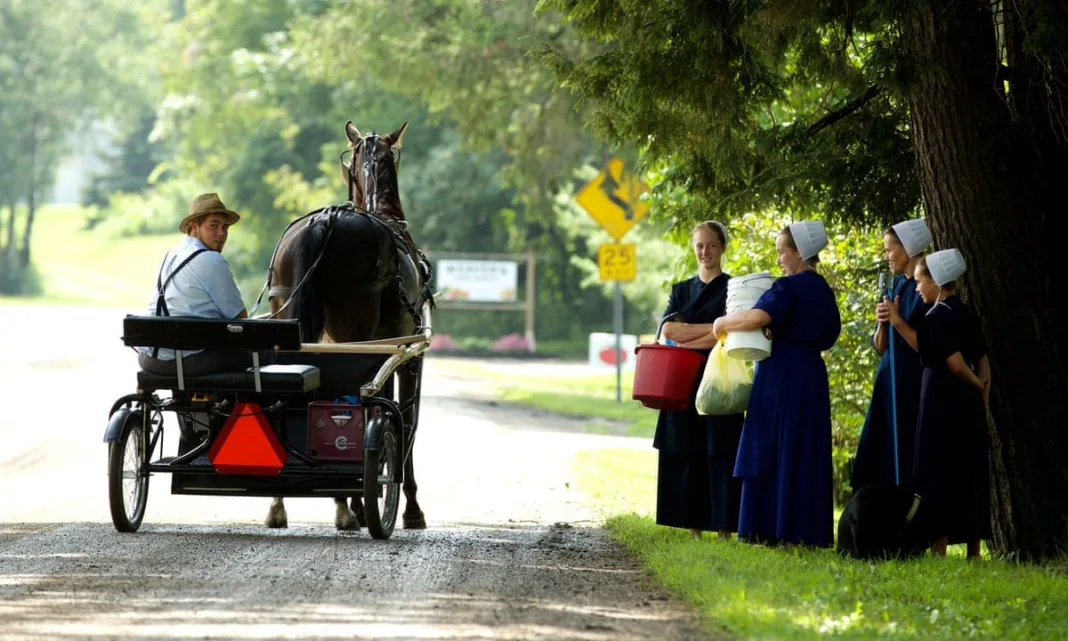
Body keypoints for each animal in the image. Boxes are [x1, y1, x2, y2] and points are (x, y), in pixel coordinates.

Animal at [262, 120, 433, 529]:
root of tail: (326, 220)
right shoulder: (409, 357)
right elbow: (405, 419)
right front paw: (410, 507)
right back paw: (346, 504)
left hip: (286, 320)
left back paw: (280, 501)